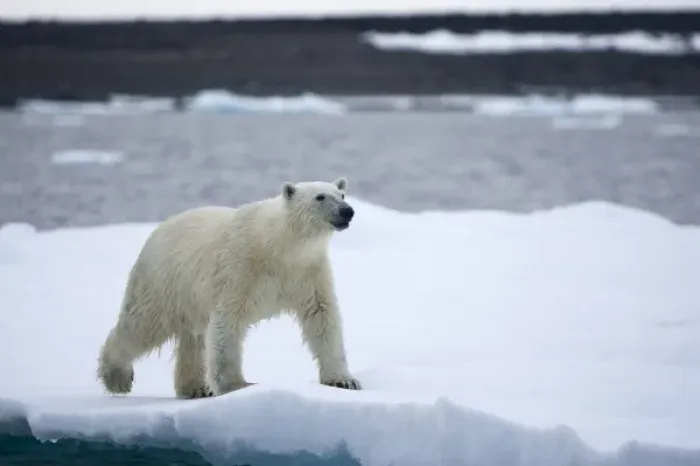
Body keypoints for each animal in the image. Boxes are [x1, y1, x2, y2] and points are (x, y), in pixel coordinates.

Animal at [96, 177, 362, 398]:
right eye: (320, 197)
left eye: (342, 194)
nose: (347, 211)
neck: (278, 246)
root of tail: (156, 232)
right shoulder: (239, 268)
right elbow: (229, 321)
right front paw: (236, 385)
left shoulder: (308, 273)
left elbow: (322, 317)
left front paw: (344, 380)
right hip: (164, 283)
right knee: (143, 324)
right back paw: (117, 377)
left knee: (193, 339)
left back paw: (196, 388)